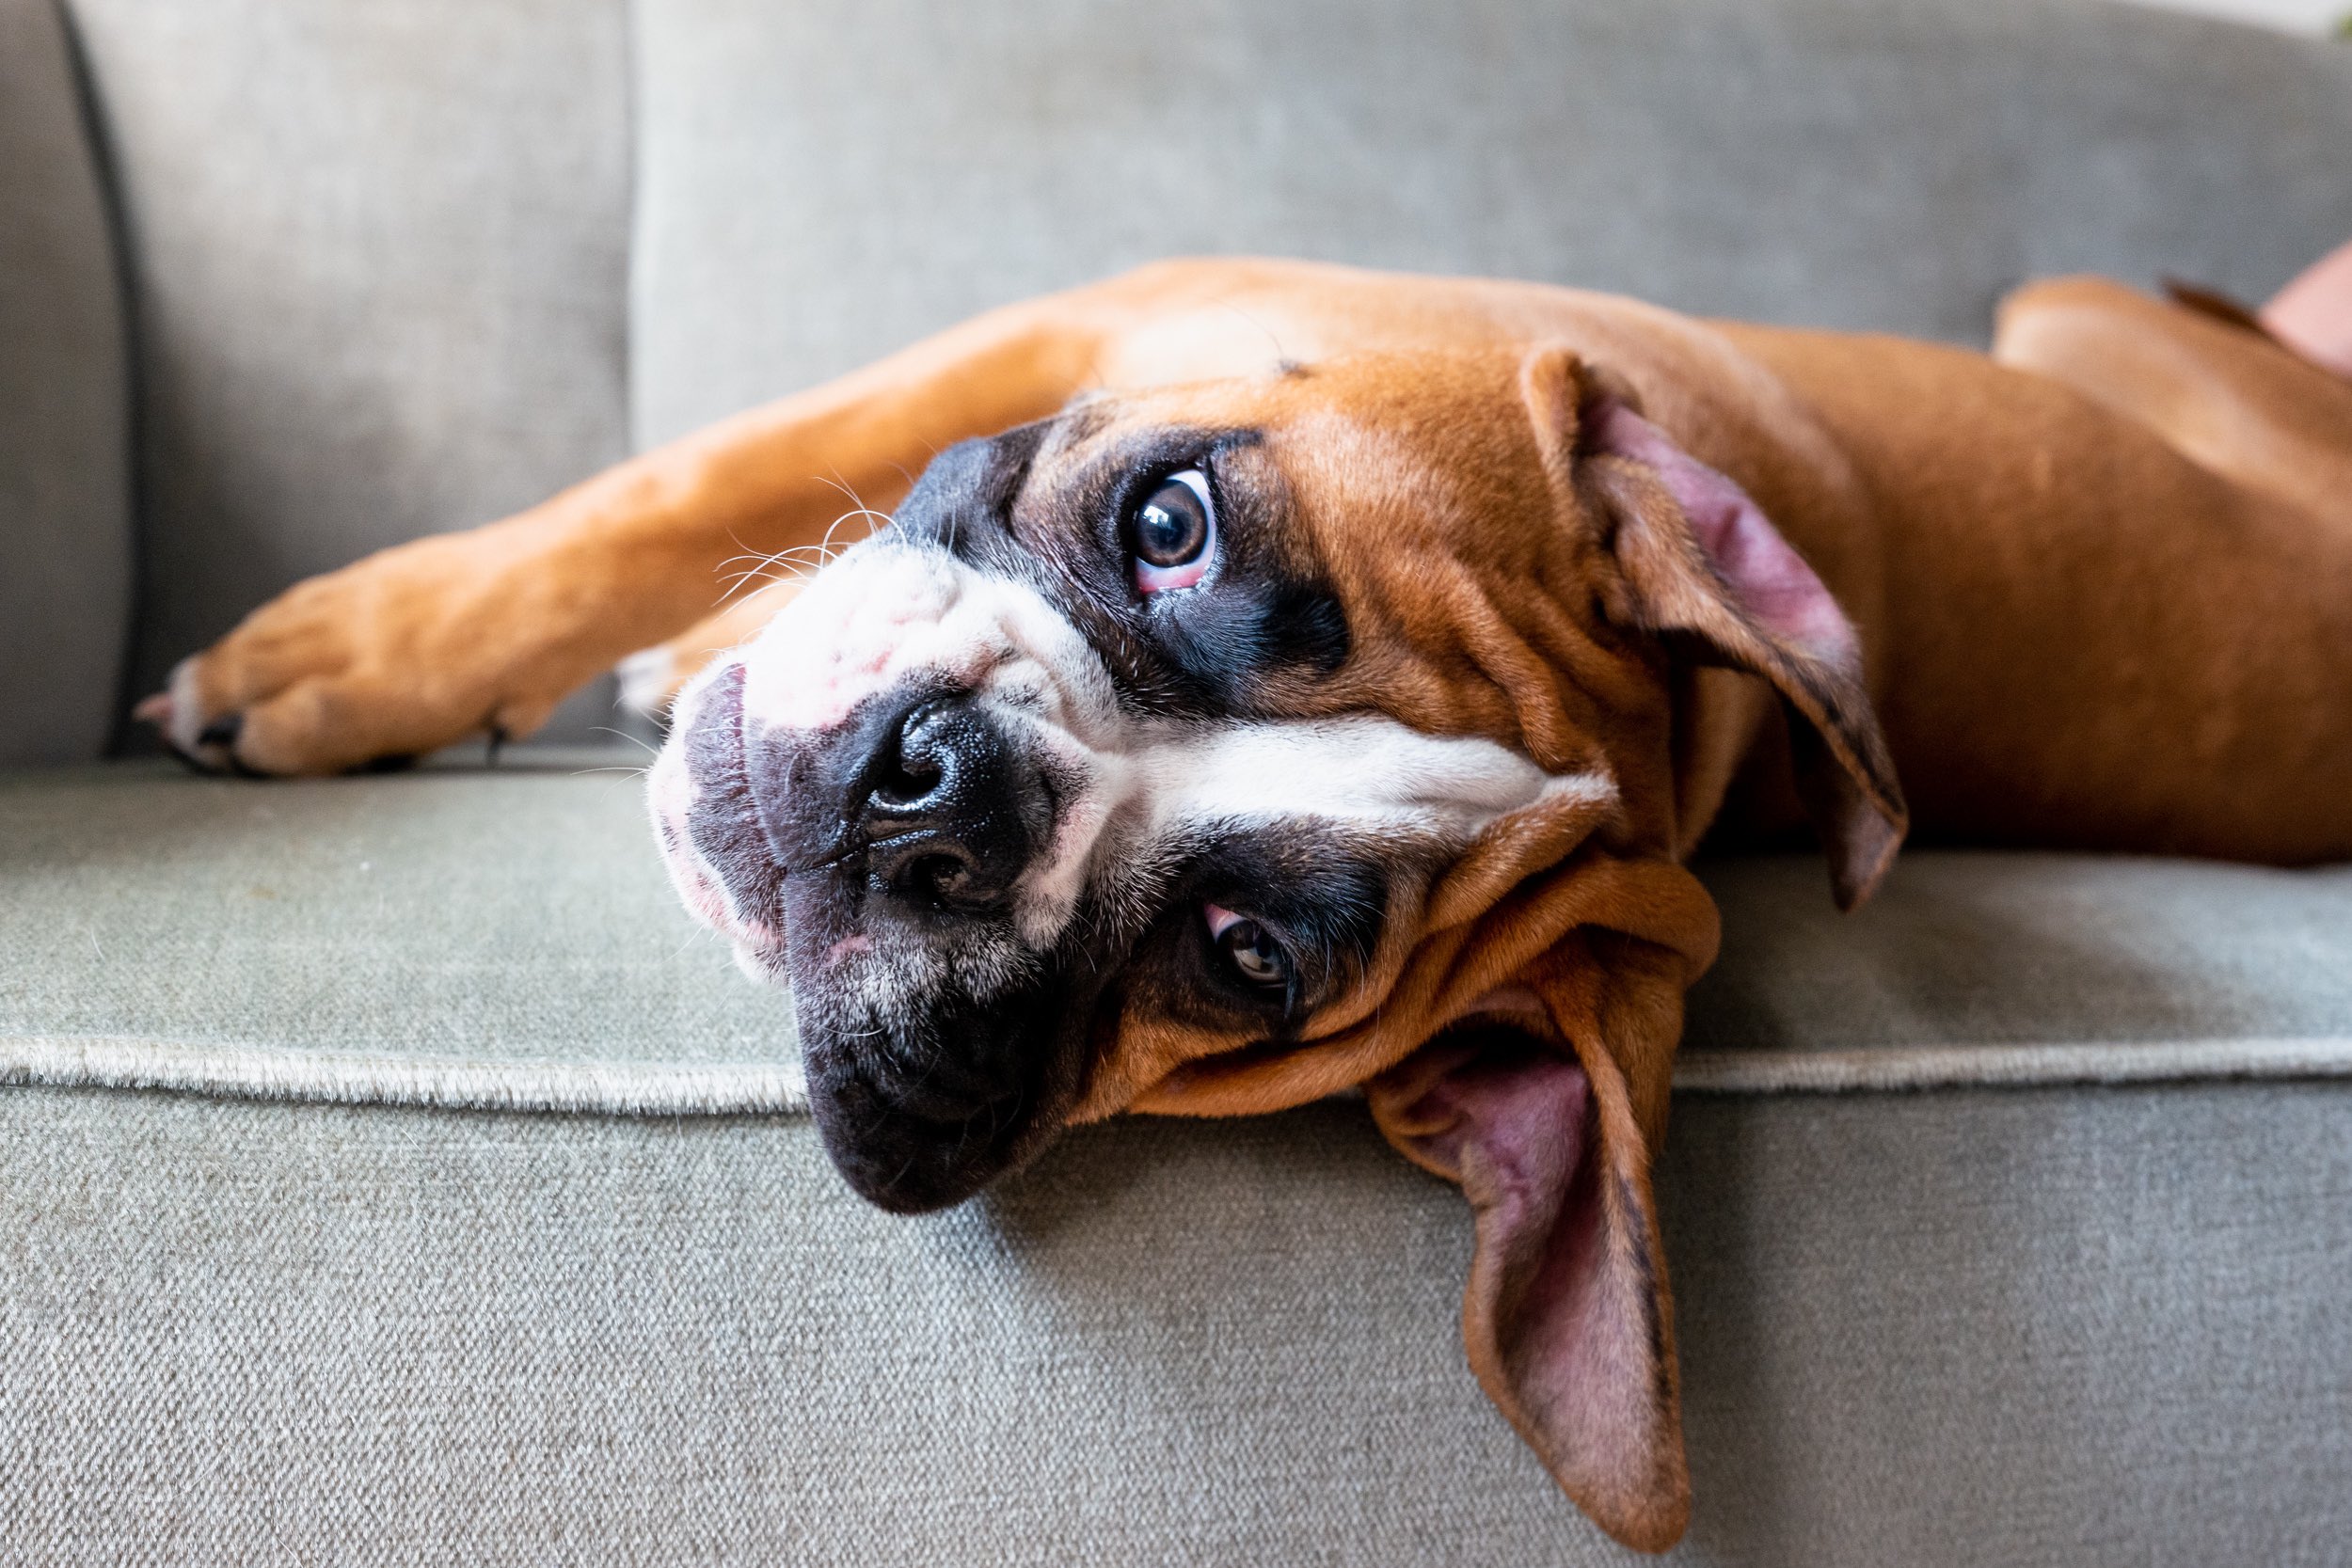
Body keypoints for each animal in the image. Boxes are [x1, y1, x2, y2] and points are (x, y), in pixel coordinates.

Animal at [142, 261, 2352, 1560]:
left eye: (1242, 956)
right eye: (1169, 521)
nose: (948, 796)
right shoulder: (1049, 326)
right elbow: (662, 490)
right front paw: (359, 653)